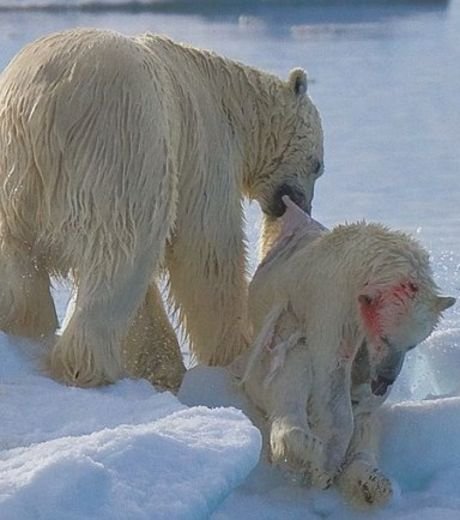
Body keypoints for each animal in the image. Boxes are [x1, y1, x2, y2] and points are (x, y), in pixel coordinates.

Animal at [0, 26, 324, 388]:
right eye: (318, 165)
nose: (300, 206)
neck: (229, 95)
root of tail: (41, 106)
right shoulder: (204, 145)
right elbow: (207, 250)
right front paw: (233, 350)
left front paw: (161, 365)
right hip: (117, 146)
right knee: (117, 258)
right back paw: (89, 365)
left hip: (15, 171)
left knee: (17, 260)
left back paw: (24, 330)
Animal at [241, 198, 456, 508]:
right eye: (385, 337)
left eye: (412, 345)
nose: (386, 380)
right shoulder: (332, 302)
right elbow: (332, 377)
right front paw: (323, 470)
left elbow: (363, 402)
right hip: (264, 359)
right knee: (292, 367)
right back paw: (304, 447)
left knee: (367, 422)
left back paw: (370, 483)